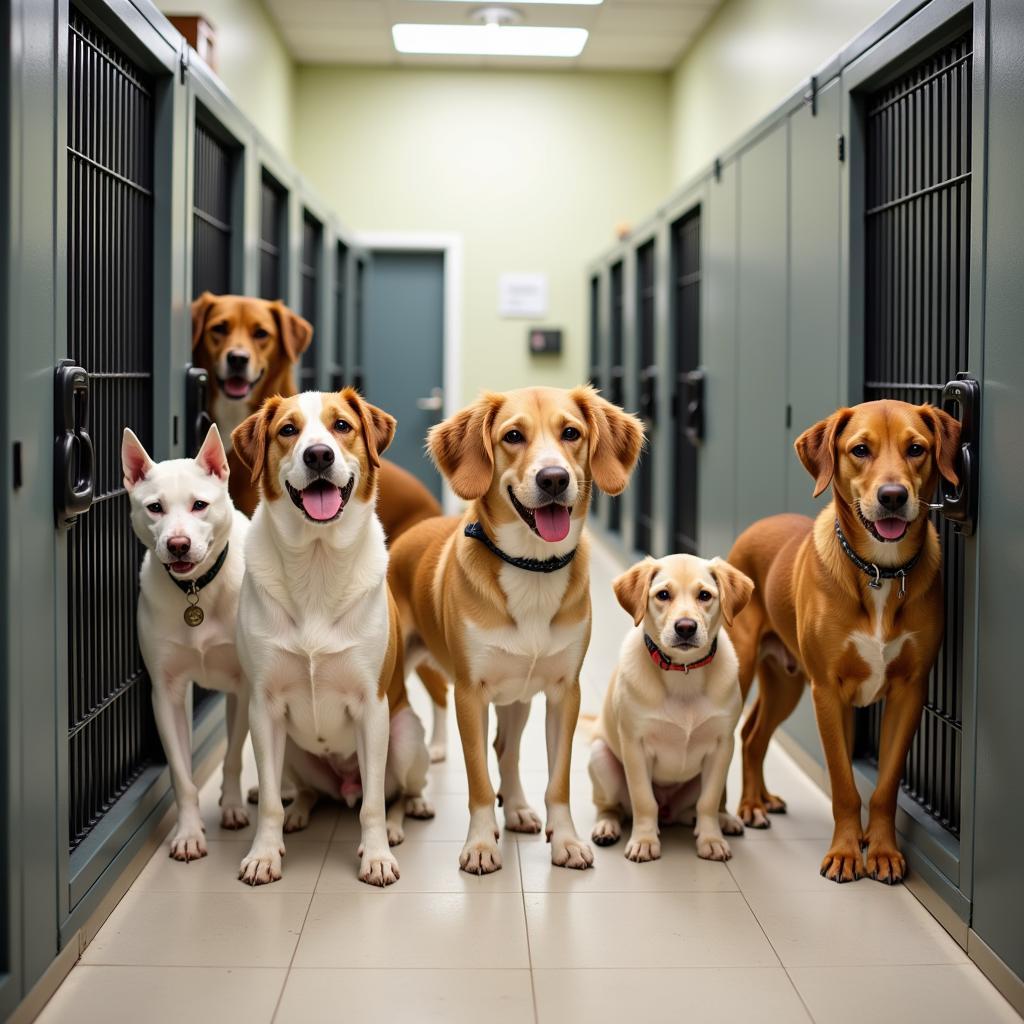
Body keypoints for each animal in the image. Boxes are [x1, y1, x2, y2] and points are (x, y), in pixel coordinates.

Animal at [122, 425, 250, 864]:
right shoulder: (167, 694)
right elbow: (181, 773)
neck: (196, 589)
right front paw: (189, 833)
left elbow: (232, 756)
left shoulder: (243, 689)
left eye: (199, 505)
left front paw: (232, 806)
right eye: (155, 507)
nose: (178, 544)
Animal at [233, 387, 436, 884]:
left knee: (393, 793)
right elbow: (268, 800)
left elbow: (374, 806)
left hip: (403, 735)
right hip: (292, 749)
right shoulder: (263, 707)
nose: (319, 454)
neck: (317, 561)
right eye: (287, 430)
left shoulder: (372, 708)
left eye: (341, 425)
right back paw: (298, 813)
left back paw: (404, 818)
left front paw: (377, 855)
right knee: (308, 791)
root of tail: (344, 783)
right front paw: (264, 853)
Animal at [385, 385, 638, 872]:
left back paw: (517, 806)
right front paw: (482, 844)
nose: (554, 478)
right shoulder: (470, 695)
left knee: (507, 749)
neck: (531, 567)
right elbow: (479, 780)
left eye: (571, 433)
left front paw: (566, 840)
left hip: (518, 696)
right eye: (513, 436)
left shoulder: (564, 693)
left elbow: (557, 780)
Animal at [585, 557, 753, 860]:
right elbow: (644, 800)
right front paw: (644, 840)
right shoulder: (635, 746)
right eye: (663, 595)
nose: (685, 627)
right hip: (601, 757)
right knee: (611, 806)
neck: (683, 673)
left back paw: (722, 820)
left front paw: (711, 839)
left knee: (701, 806)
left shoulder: (722, 746)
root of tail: (669, 813)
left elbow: (709, 801)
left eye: (705, 595)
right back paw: (607, 826)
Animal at [729, 397, 958, 880]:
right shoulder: (827, 693)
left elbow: (885, 786)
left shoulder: (909, 693)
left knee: (754, 735)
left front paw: (884, 851)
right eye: (860, 450)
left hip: (787, 683)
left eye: (916, 448)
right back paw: (733, 810)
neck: (880, 571)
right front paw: (847, 853)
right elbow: (842, 783)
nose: (893, 496)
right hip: (744, 670)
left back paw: (758, 802)